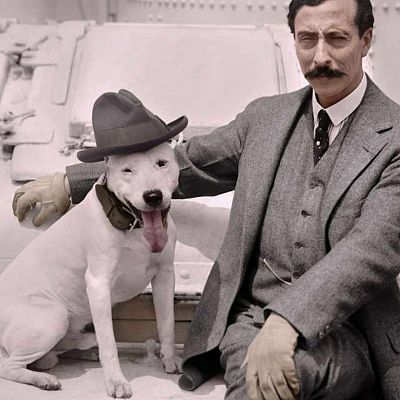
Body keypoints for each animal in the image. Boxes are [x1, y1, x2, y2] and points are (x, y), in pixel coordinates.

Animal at [0, 90, 187, 398]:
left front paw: (171, 362)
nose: (152, 196)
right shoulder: (98, 283)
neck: (133, 226)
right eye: (127, 170)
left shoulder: (165, 276)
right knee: (8, 366)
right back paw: (44, 379)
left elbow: (168, 324)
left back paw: (79, 350)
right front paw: (116, 382)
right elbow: (110, 343)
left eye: (161, 163)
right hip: (52, 315)